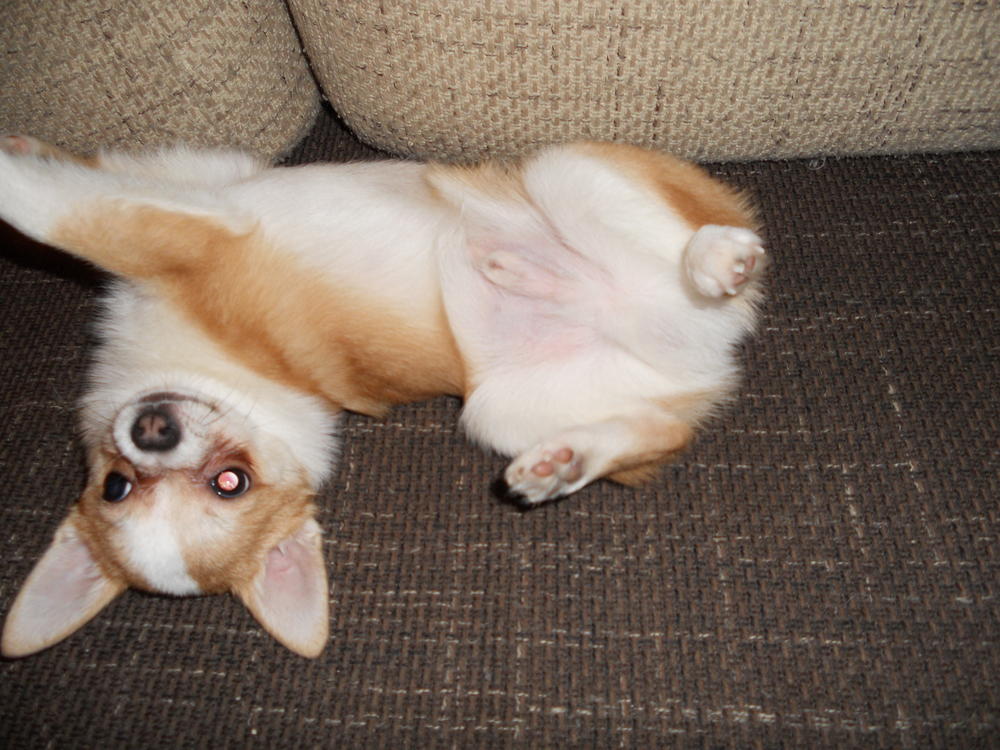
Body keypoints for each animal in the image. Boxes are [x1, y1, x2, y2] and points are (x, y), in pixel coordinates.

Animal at [0, 134, 765, 658]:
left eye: (229, 481)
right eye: (119, 486)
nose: (152, 431)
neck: (249, 384)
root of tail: (709, 346)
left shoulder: (190, 213)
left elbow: (62, 202)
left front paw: (20, 155)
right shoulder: (189, 203)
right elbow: (84, 186)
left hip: (568, 172)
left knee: (694, 253)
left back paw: (714, 256)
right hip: (498, 411)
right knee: (664, 428)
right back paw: (561, 457)